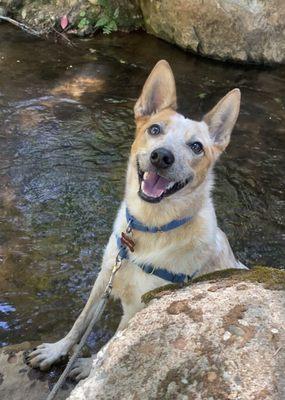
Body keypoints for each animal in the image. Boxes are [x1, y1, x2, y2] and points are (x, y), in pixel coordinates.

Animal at [29, 60, 246, 382]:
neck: (149, 229)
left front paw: (89, 366)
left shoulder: (140, 306)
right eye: (155, 129)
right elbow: (80, 321)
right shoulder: (105, 275)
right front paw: (58, 349)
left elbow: (114, 343)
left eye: (196, 146)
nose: (162, 156)